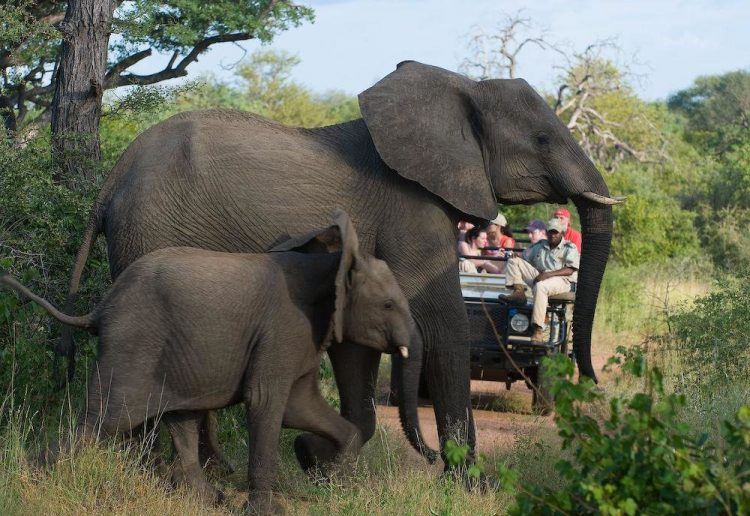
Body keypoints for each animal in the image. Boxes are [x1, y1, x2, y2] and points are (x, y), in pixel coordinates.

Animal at [1, 211, 434, 512]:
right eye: (388, 305)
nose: (436, 461)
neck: (333, 262)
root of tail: (101, 307)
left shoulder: (300, 337)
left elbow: (299, 406)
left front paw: (337, 481)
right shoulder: (282, 328)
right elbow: (267, 403)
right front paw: (268, 511)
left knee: (180, 420)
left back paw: (208, 500)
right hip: (131, 347)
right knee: (101, 420)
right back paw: (28, 480)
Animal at [61, 60, 620, 468]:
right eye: (543, 140)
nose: (593, 379)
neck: (460, 88)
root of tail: (111, 181)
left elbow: (358, 349)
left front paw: (315, 459)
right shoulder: (411, 211)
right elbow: (444, 325)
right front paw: (469, 481)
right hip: (150, 229)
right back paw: (153, 465)